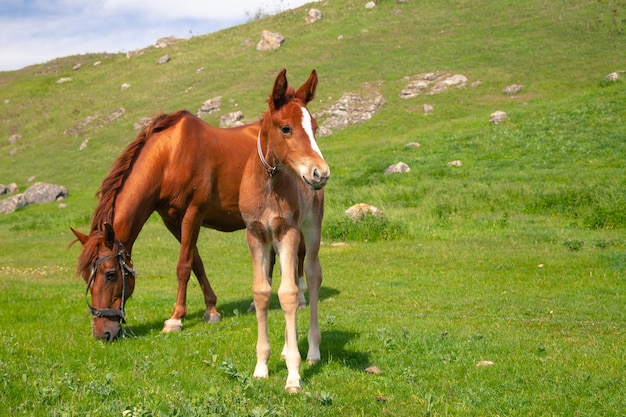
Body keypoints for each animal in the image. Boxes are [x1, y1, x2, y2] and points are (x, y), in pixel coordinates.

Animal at [239, 67, 330, 390]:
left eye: (315, 128)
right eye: (286, 128)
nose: (320, 173)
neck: (269, 186)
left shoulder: (288, 231)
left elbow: (290, 294)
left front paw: (294, 375)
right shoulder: (256, 234)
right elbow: (263, 292)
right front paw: (261, 367)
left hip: (311, 228)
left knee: (311, 276)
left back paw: (312, 351)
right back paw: (285, 348)